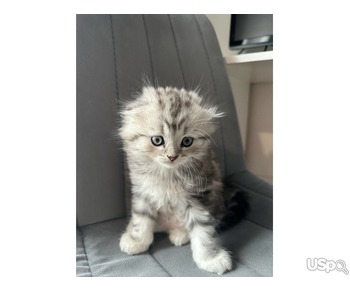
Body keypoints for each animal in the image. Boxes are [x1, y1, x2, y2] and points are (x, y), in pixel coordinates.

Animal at [119, 85, 245, 274]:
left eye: (187, 142)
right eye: (157, 140)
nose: (172, 156)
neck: (168, 176)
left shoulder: (199, 196)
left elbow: (202, 230)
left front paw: (211, 258)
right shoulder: (143, 191)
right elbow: (141, 219)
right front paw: (137, 240)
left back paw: (180, 234)